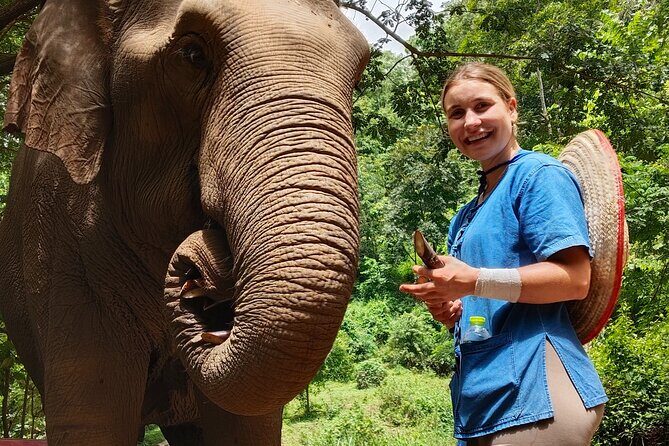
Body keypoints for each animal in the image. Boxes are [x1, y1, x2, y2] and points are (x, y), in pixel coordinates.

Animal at [0, 0, 369, 444]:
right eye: (192, 54)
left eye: (358, 74)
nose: (196, 280)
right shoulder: (64, 248)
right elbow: (94, 420)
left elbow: (245, 426)